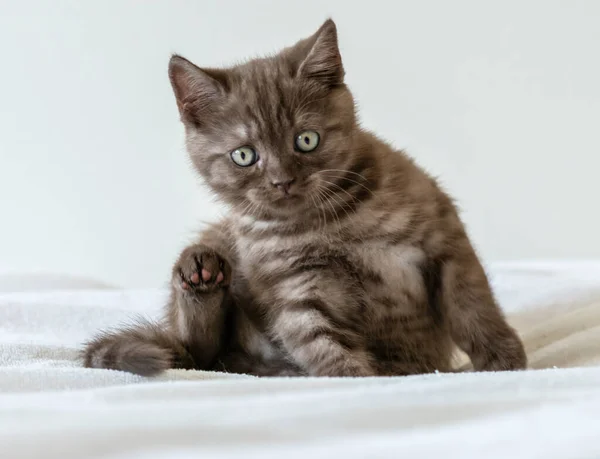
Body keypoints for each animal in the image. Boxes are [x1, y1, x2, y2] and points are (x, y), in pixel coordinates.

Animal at [83, 18, 524, 378]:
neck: (330, 222)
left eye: (306, 140)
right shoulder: (296, 288)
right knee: (197, 352)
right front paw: (354, 380)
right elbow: (318, 340)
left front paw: (504, 361)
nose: (282, 181)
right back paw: (201, 271)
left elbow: (472, 305)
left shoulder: (443, 240)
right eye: (244, 155)